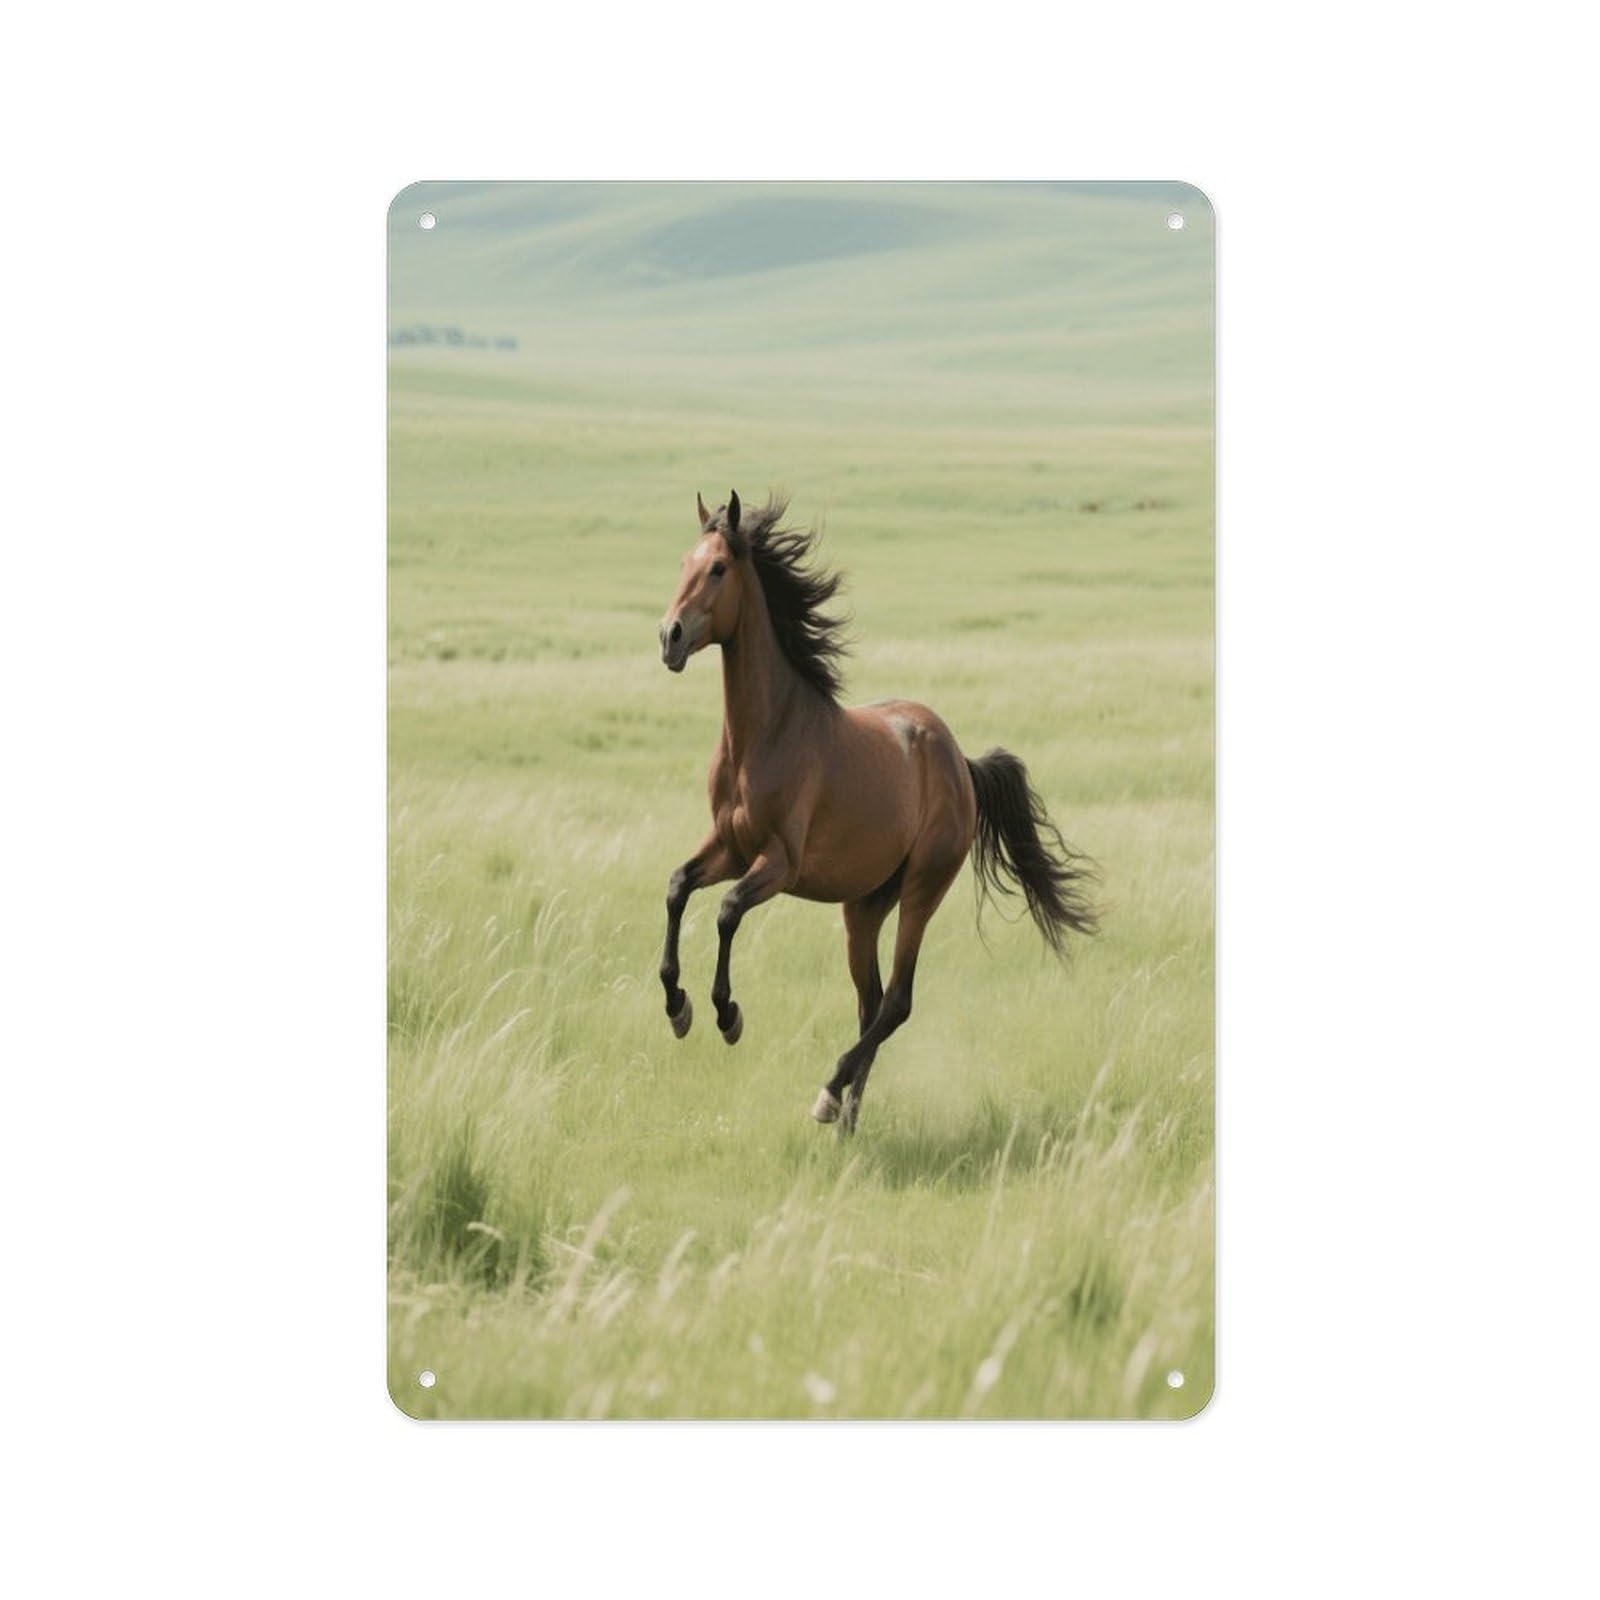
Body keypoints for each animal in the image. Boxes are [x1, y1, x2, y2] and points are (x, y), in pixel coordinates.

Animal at [656, 491, 1099, 1132]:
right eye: (683, 562)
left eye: (717, 568)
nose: (669, 637)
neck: (767, 734)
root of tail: (959, 762)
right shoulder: (728, 847)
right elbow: (677, 888)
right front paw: (677, 1006)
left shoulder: (778, 863)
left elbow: (727, 911)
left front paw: (726, 1014)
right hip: (864, 906)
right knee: (870, 1004)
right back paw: (846, 1117)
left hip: (921, 889)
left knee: (896, 1003)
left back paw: (828, 1094)